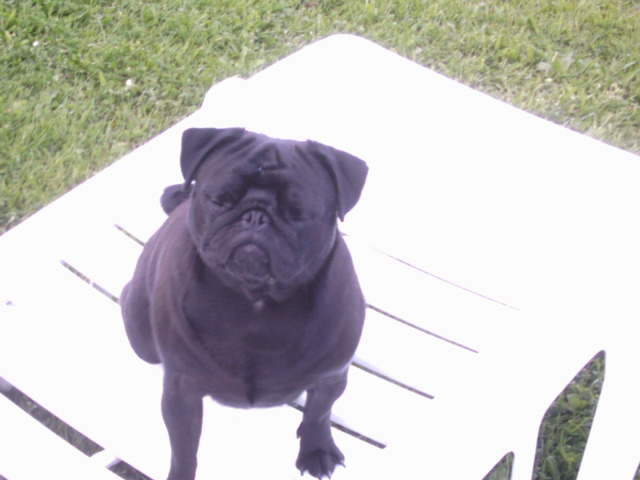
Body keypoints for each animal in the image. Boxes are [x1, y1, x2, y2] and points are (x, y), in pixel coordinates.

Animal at [120, 127, 368, 480]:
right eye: (219, 200)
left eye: (298, 213)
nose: (256, 216)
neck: (254, 301)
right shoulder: (182, 391)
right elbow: (183, 450)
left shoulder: (330, 378)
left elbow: (318, 415)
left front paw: (316, 450)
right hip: (142, 336)